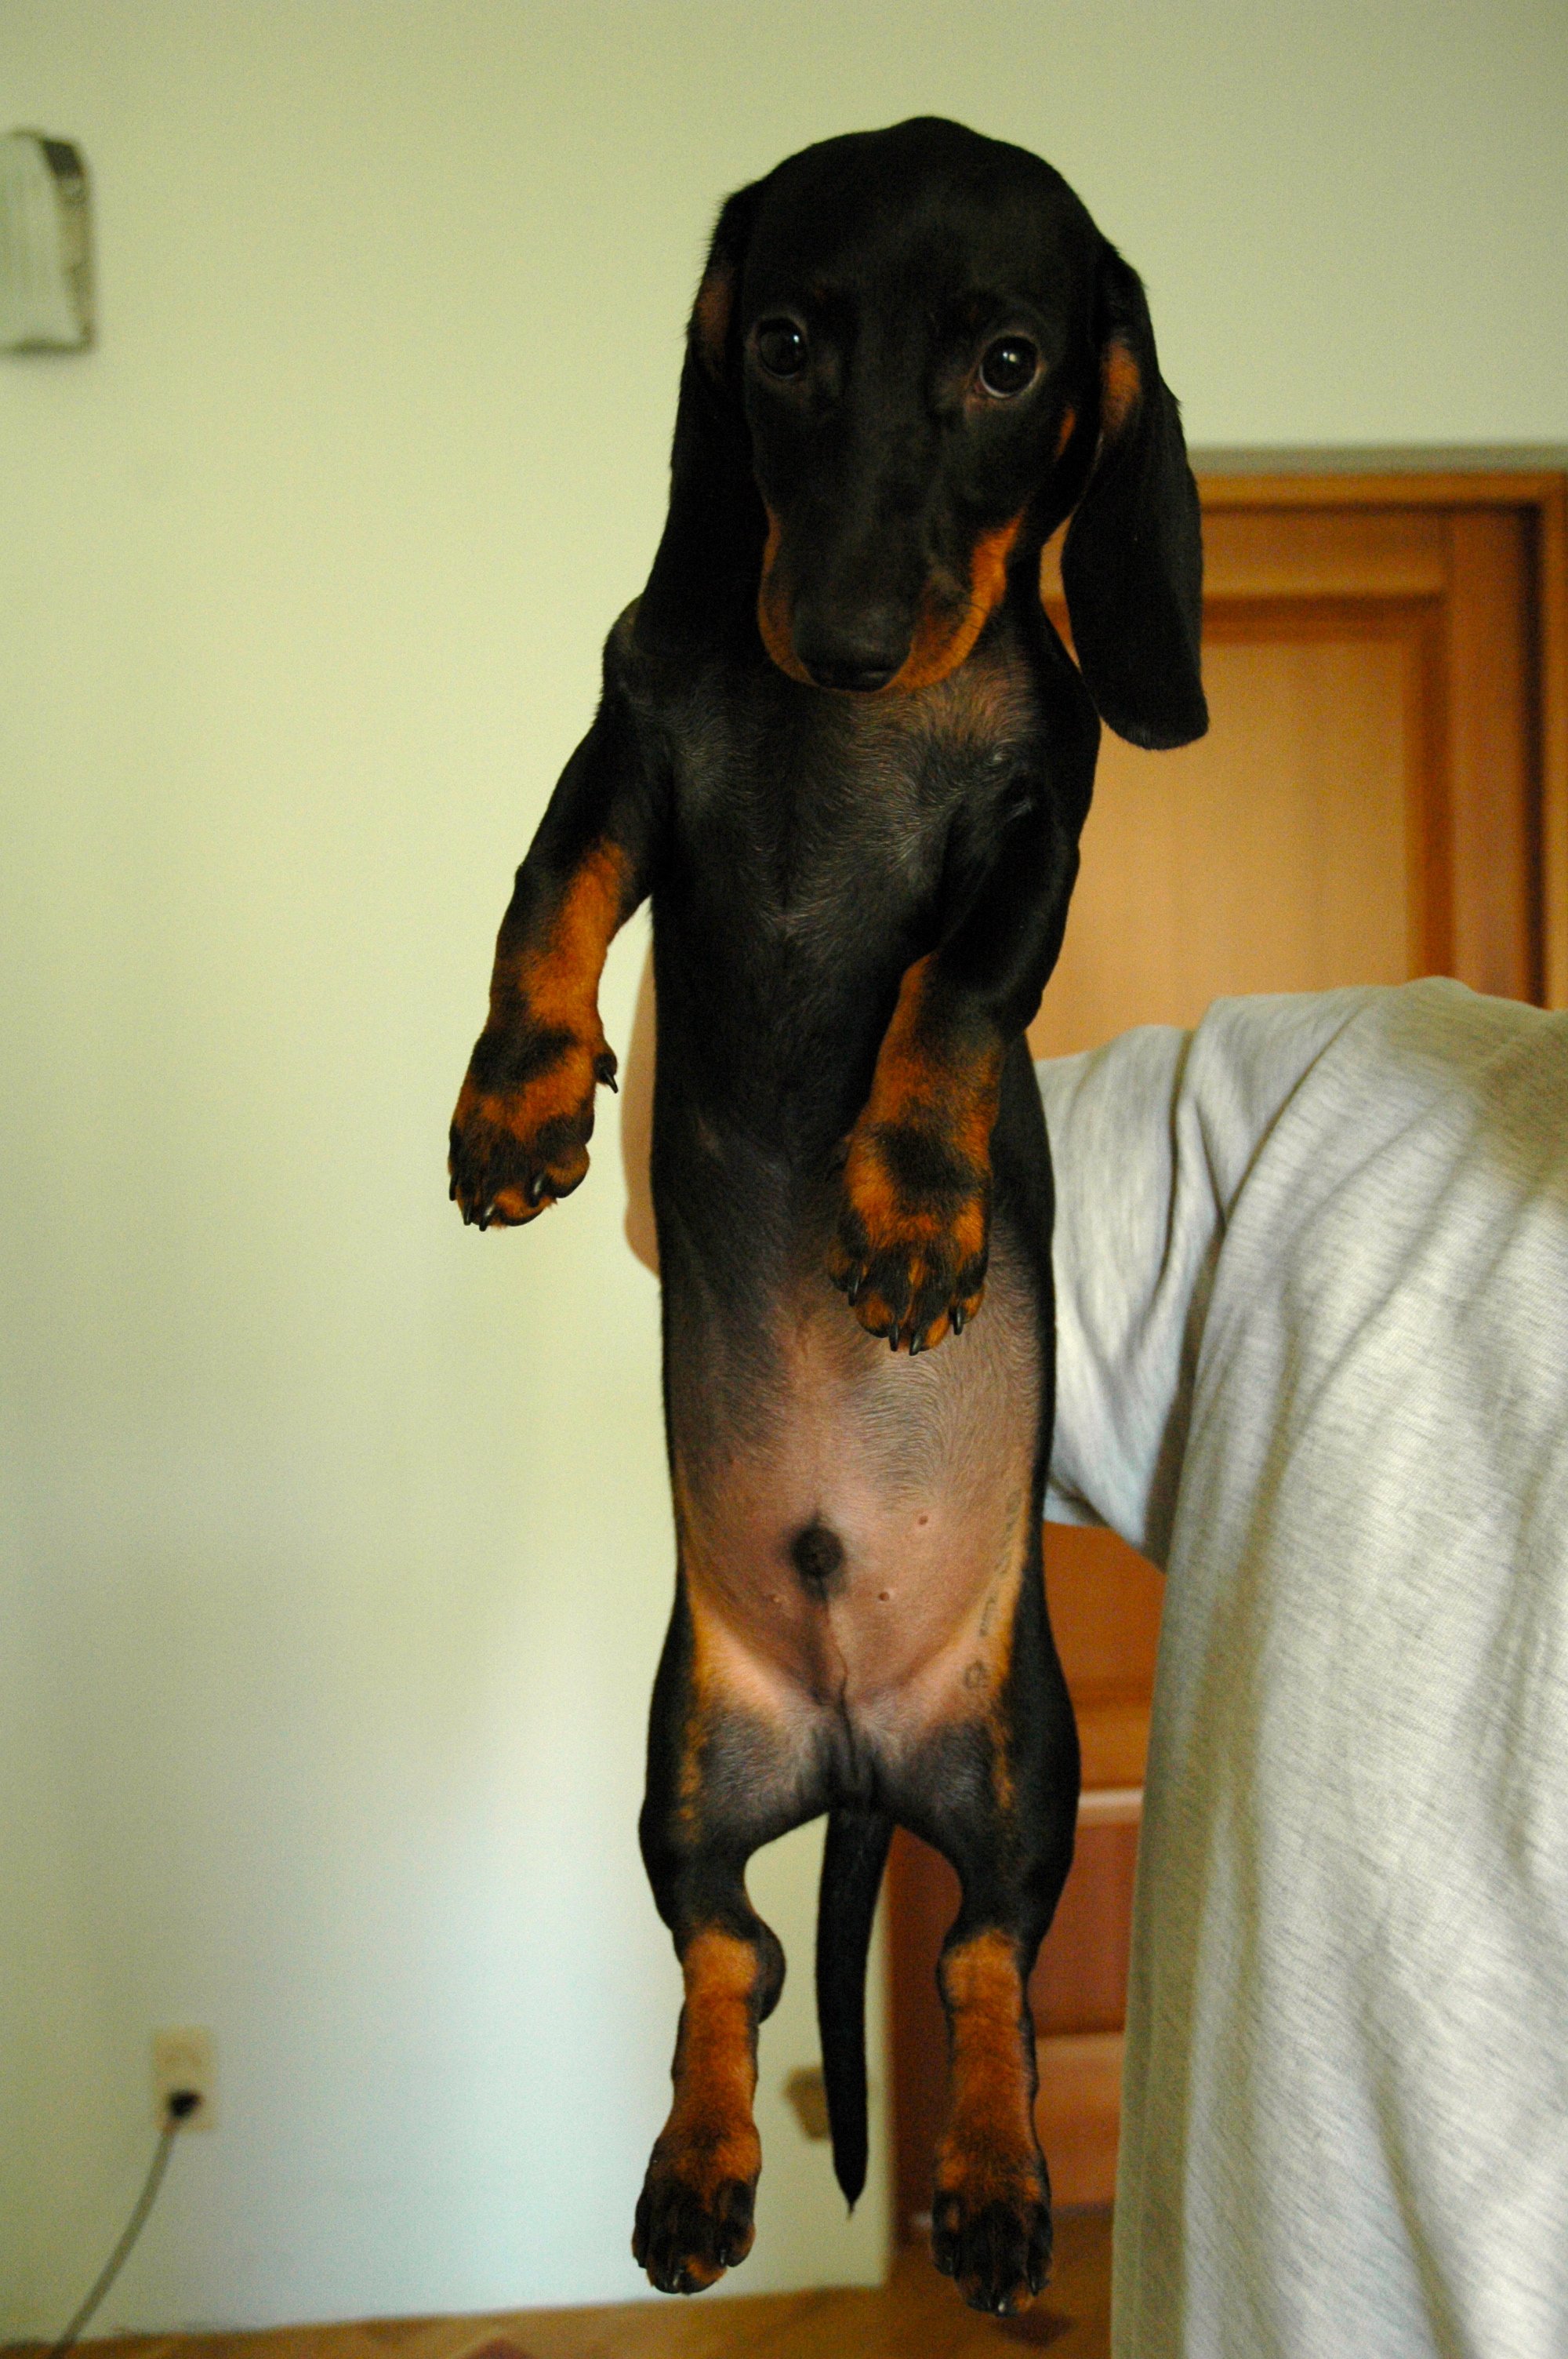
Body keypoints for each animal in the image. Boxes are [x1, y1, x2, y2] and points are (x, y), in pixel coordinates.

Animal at [449, 116, 1205, 2318]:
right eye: (779, 341)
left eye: (1011, 361)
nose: (852, 636)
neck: (847, 723)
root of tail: (865, 1759)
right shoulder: (628, 752)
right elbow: (545, 899)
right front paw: (517, 1096)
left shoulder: (1036, 836)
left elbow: (947, 994)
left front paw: (919, 1210)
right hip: (691, 1753)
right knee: (739, 1950)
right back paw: (703, 2164)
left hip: (1026, 1767)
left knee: (970, 1960)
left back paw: (994, 2181)